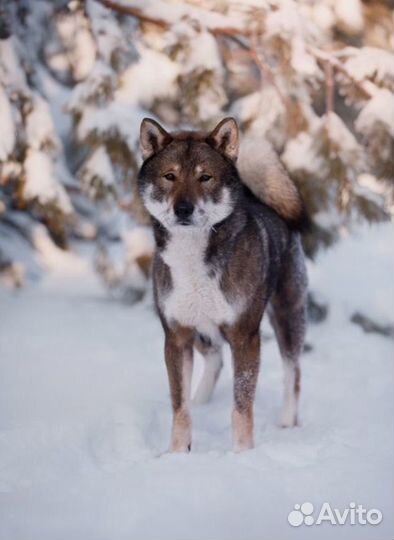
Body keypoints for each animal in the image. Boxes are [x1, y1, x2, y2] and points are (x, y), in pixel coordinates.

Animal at [139, 117, 308, 452]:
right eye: (169, 176)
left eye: (205, 177)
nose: (183, 209)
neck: (193, 257)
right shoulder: (176, 336)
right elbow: (180, 408)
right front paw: (177, 454)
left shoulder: (244, 337)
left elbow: (241, 408)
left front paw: (242, 454)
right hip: (203, 331)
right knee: (214, 360)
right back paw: (201, 401)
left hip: (287, 317)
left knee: (292, 372)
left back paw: (286, 422)